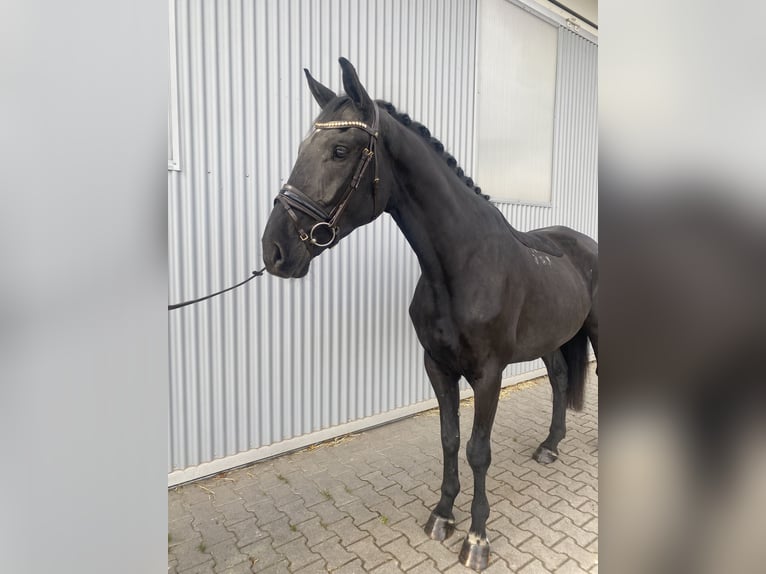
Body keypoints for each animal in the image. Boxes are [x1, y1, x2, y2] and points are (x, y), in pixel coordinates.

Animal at [261, 58, 598, 571]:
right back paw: (549, 446)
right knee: (560, 379)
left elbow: (478, 451)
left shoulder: (488, 374)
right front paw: (442, 515)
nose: (274, 250)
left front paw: (477, 538)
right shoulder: (438, 366)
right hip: (553, 338)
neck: (462, 265)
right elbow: (449, 439)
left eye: (340, 150)